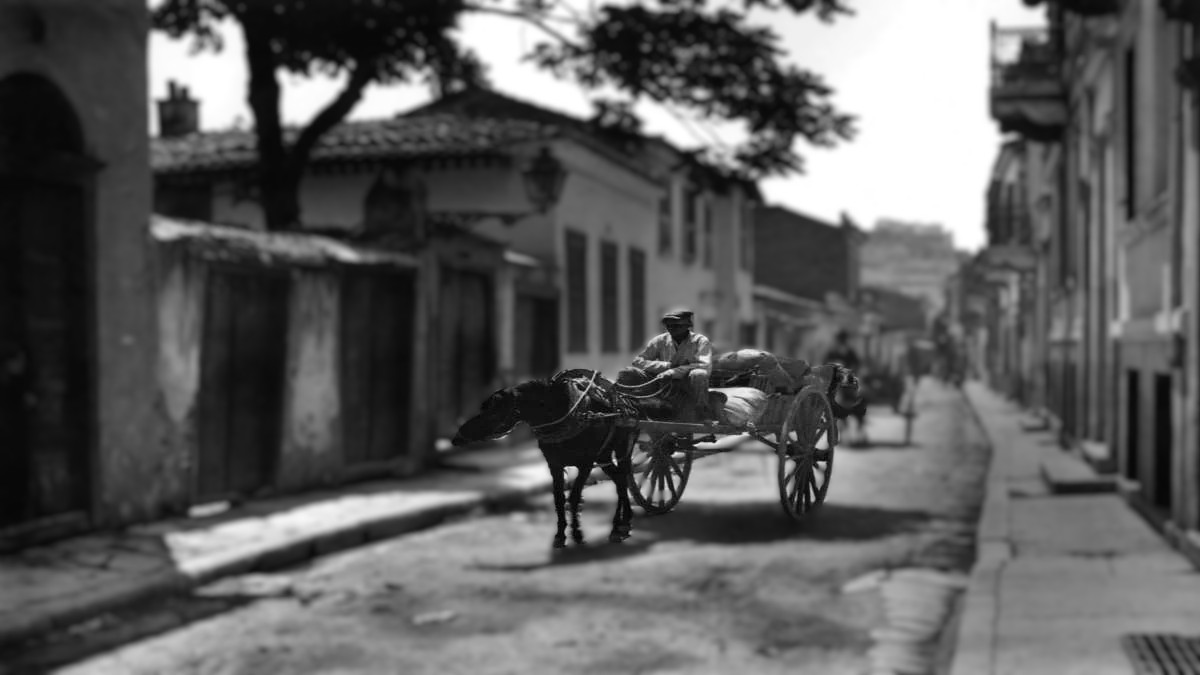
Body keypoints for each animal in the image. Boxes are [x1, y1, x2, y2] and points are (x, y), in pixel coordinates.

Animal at [451, 369, 670, 549]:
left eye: (494, 410)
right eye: (484, 407)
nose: (457, 437)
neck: (563, 413)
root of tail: (631, 403)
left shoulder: (585, 464)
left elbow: (573, 497)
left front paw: (577, 533)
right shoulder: (554, 465)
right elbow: (558, 498)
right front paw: (559, 536)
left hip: (622, 449)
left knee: (623, 479)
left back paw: (622, 525)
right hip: (604, 455)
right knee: (619, 480)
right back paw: (620, 524)